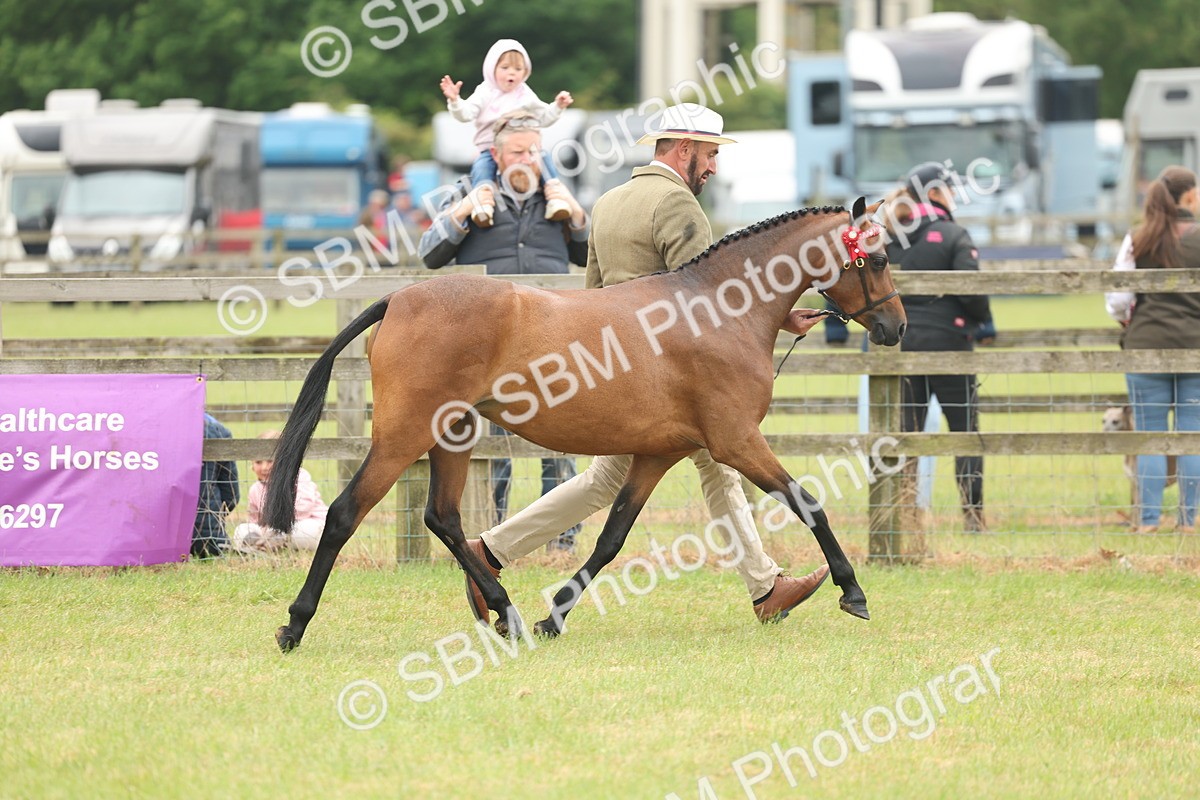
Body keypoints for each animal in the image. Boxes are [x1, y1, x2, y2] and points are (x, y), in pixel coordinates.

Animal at [264, 197, 906, 651]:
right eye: (875, 258)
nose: (896, 327)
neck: (718, 309)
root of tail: (398, 299)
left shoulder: (659, 454)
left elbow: (610, 537)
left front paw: (554, 617)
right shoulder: (736, 442)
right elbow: (809, 502)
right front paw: (851, 590)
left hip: (454, 435)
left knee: (443, 518)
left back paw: (505, 610)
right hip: (404, 437)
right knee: (346, 513)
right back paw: (295, 626)